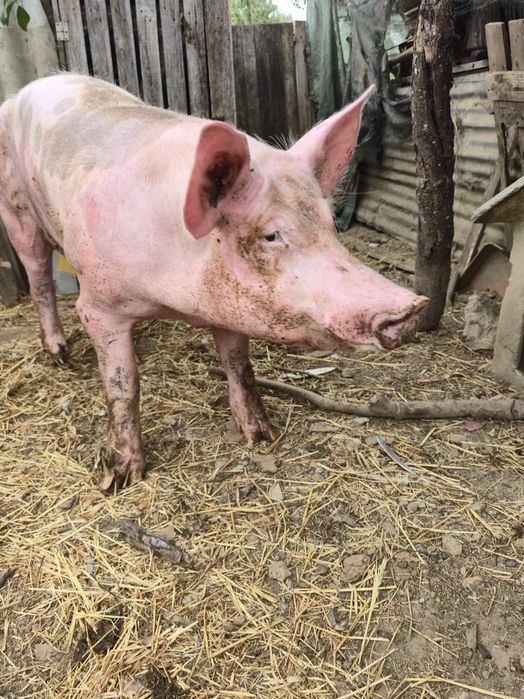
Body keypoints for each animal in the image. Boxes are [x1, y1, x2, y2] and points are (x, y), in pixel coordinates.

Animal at [0, 74, 427, 488]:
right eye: (271, 235)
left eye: (329, 224)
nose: (411, 307)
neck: (175, 296)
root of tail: (23, 92)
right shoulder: (100, 307)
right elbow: (123, 384)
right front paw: (120, 477)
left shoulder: (231, 303)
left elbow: (239, 366)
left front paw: (263, 437)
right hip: (15, 209)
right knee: (38, 278)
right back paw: (59, 354)